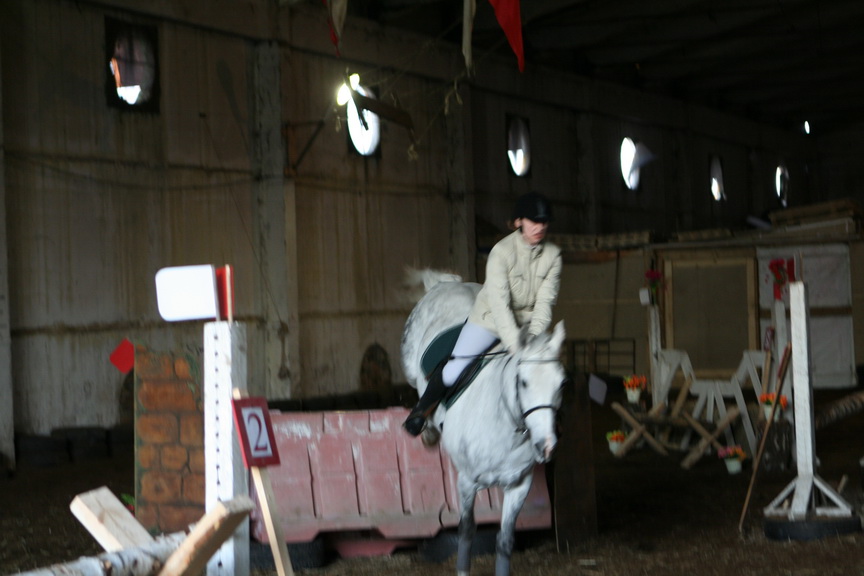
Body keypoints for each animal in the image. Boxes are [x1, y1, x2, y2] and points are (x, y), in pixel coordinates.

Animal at [401, 269, 568, 576]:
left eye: (562, 383)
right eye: (522, 382)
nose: (547, 445)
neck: (505, 427)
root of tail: (444, 285)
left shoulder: (519, 486)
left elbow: (505, 540)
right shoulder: (467, 483)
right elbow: (466, 533)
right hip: (410, 361)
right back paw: (423, 428)